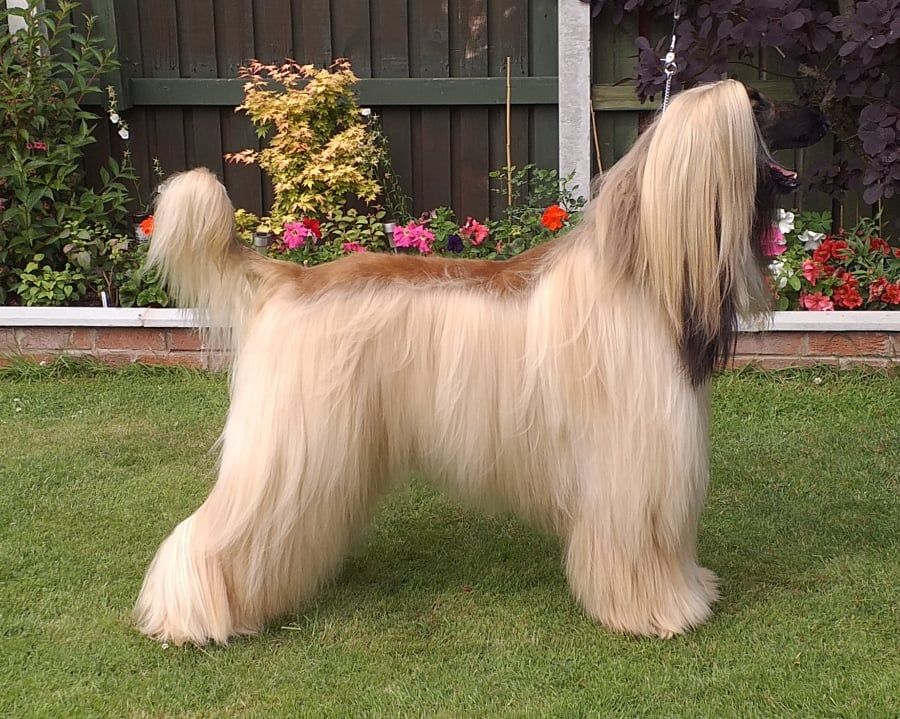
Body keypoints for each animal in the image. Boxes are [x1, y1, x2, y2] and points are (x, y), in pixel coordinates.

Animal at [135, 80, 803, 645]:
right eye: (761, 105)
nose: (818, 116)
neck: (640, 270)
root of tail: (287, 277)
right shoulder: (634, 465)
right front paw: (661, 611)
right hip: (290, 444)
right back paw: (191, 616)